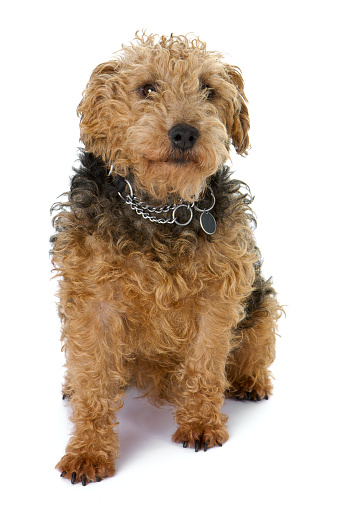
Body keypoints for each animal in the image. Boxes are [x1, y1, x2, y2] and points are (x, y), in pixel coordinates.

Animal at [50, 31, 282, 484]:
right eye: (147, 88)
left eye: (209, 90)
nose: (185, 133)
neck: (163, 210)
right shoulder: (93, 304)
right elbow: (94, 381)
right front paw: (88, 451)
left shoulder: (217, 298)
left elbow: (205, 366)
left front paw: (201, 424)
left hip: (260, 300)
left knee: (255, 344)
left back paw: (249, 380)